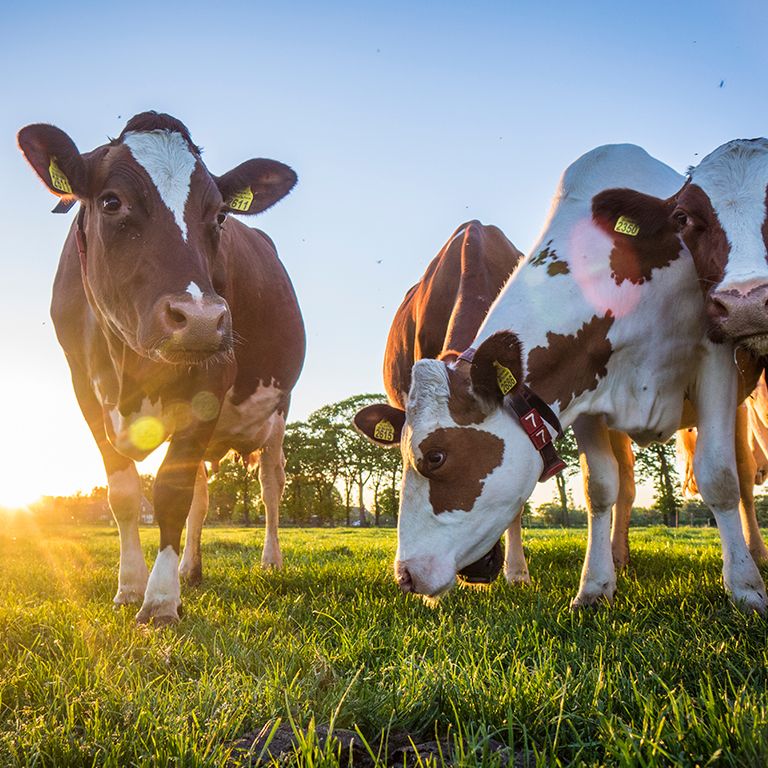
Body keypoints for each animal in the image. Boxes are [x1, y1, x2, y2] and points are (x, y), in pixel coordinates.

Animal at [18, 111, 306, 624]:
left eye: (220, 215)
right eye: (111, 201)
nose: (201, 319)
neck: (129, 366)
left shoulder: (212, 379)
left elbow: (171, 493)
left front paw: (159, 601)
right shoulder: (84, 389)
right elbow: (124, 494)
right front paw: (130, 586)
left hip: (278, 410)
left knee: (270, 484)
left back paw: (270, 562)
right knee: (203, 495)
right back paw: (191, 569)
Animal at [356, 142, 764, 612]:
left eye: (436, 456)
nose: (406, 575)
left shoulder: (715, 357)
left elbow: (719, 476)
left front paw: (746, 588)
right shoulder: (585, 391)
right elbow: (599, 487)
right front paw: (594, 587)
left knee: (743, 474)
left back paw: (755, 553)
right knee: (626, 484)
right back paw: (618, 557)